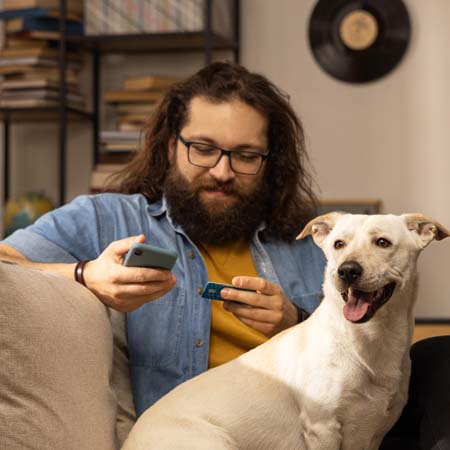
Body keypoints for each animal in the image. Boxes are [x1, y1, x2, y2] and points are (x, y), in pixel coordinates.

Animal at [121, 214, 448, 450]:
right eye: (338, 244)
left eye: (383, 242)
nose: (346, 271)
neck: (368, 342)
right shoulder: (322, 428)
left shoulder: (373, 432)